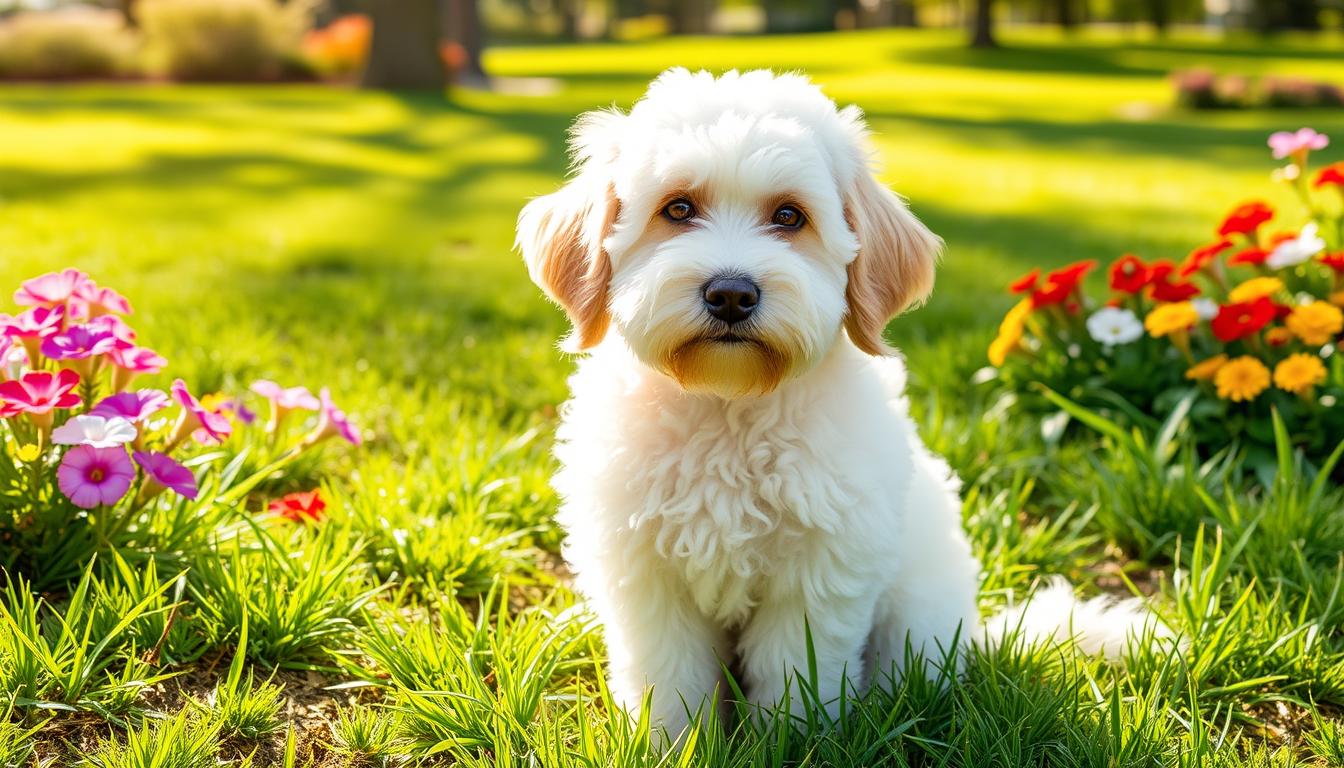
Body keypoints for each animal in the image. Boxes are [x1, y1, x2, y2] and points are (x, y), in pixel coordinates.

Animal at [516, 69, 1166, 742]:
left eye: (788, 215)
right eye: (677, 209)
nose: (731, 294)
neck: (729, 405)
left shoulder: (818, 577)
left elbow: (793, 676)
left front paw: (788, 741)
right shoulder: (646, 573)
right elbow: (670, 677)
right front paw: (674, 741)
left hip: (916, 617)